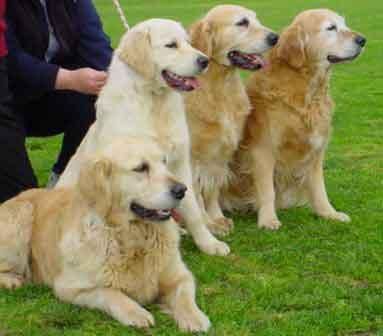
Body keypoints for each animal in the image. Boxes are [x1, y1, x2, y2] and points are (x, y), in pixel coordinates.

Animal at [0, 140, 212, 334]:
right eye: (141, 168)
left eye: (164, 162)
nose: (182, 190)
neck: (132, 237)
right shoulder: (70, 288)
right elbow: (111, 293)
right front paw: (136, 313)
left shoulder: (180, 276)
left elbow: (184, 297)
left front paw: (195, 318)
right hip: (21, 216)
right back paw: (12, 280)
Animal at [58, 19, 230, 256]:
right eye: (171, 45)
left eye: (188, 42)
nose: (204, 61)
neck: (153, 102)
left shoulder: (179, 165)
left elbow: (192, 208)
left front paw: (209, 243)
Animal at [184, 5, 278, 236]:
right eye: (242, 22)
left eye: (256, 19)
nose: (275, 37)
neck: (219, 87)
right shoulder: (190, 158)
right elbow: (197, 195)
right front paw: (207, 224)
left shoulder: (222, 152)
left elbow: (212, 190)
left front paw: (217, 218)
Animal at [224, 9, 368, 230]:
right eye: (331, 27)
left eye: (344, 24)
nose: (362, 40)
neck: (306, 92)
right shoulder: (262, 149)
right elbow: (267, 189)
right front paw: (268, 219)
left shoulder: (316, 150)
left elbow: (319, 187)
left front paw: (328, 213)